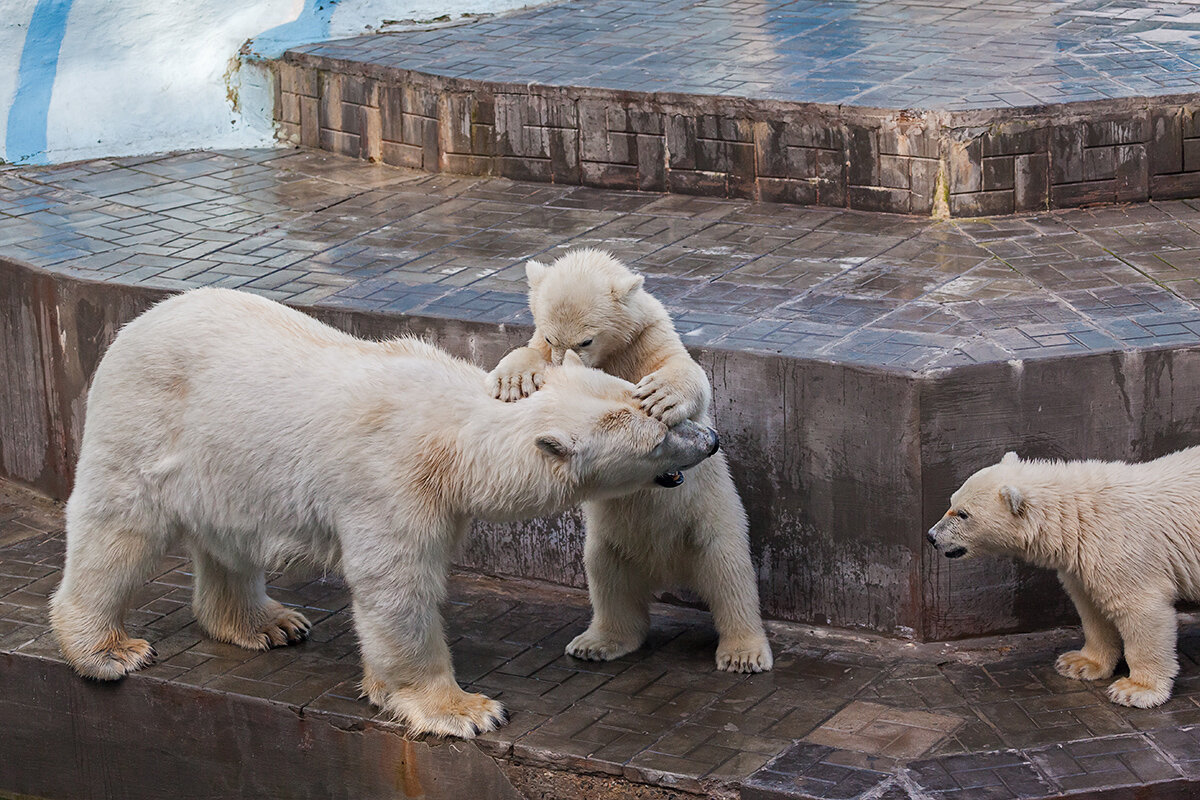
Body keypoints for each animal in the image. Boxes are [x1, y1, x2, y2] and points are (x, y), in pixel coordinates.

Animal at [51, 287, 715, 738]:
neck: (453, 434)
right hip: (147, 422)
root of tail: (136, 323)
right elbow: (397, 585)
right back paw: (106, 649)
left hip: (225, 465)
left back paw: (266, 624)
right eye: (660, 435)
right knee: (118, 527)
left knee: (228, 539)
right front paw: (465, 710)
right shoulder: (391, 481)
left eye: (654, 406)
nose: (710, 440)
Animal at [484, 250, 772, 676]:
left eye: (586, 339)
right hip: (610, 540)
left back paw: (743, 653)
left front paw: (661, 396)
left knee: (730, 578)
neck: (611, 354)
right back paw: (598, 642)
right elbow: (531, 357)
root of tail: (666, 570)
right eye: (552, 337)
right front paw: (513, 380)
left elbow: (684, 372)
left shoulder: (648, 339)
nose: (562, 360)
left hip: (710, 523)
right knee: (607, 580)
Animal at [931, 453, 1200, 710]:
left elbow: (1141, 609)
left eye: (963, 514)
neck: (1081, 516)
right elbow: (1091, 607)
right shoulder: (1084, 562)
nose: (931, 536)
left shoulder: (1125, 549)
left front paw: (1136, 689)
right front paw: (1079, 663)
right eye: (951, 502)